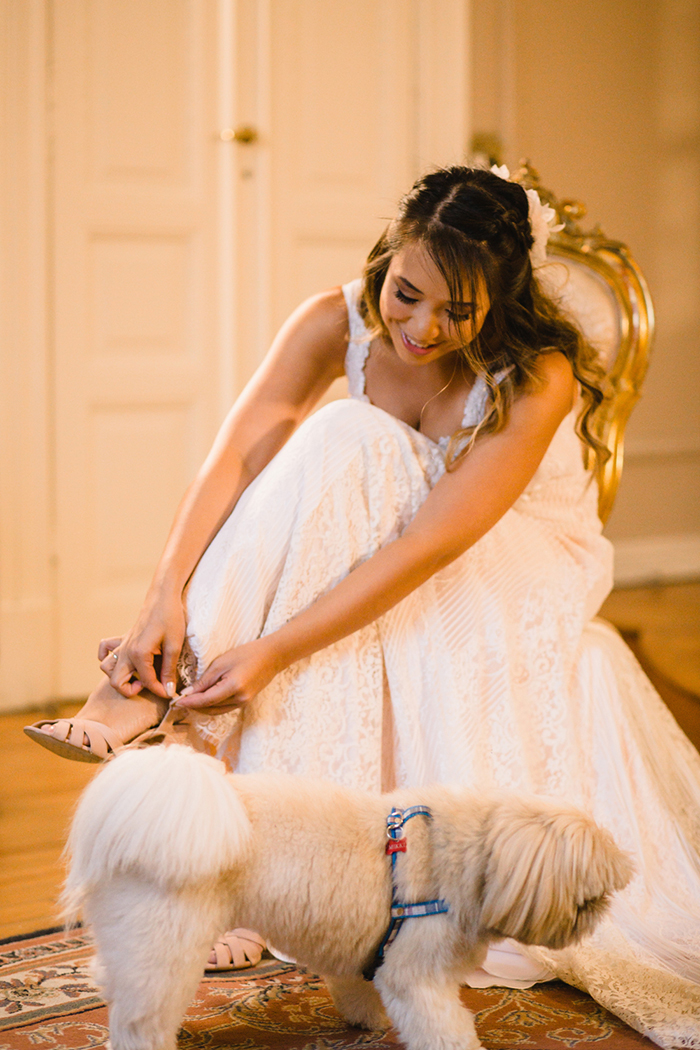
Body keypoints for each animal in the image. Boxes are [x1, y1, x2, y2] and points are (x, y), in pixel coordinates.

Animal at [65, 743, 633, 1050]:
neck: (467, 851)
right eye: (588, 900)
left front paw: (367, 1020)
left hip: (134, 941)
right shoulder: (416, 973)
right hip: (166, 945)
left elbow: (357, 988)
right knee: (141, 1017)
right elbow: (444, 1026)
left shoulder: (362, 948)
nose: (600, 914)